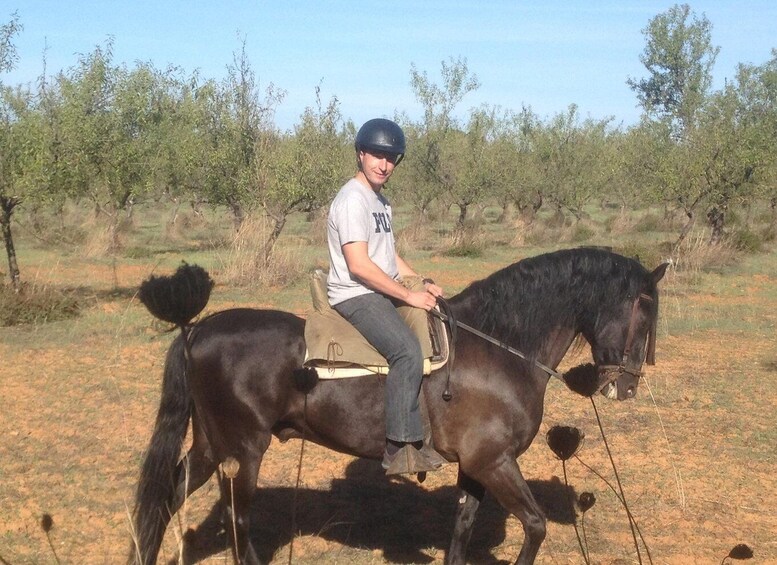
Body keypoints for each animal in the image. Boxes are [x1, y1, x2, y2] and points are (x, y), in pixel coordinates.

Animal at [132, 248, 668, 564]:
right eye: (645, 310)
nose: (627, 387)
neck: (498, 347)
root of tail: (196, 329)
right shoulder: (494, 462)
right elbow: (534, 527)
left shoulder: (476, 467)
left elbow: (462, 532)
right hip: (244, 451)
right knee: (238, 521)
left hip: (211, 445)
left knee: (166, 498)